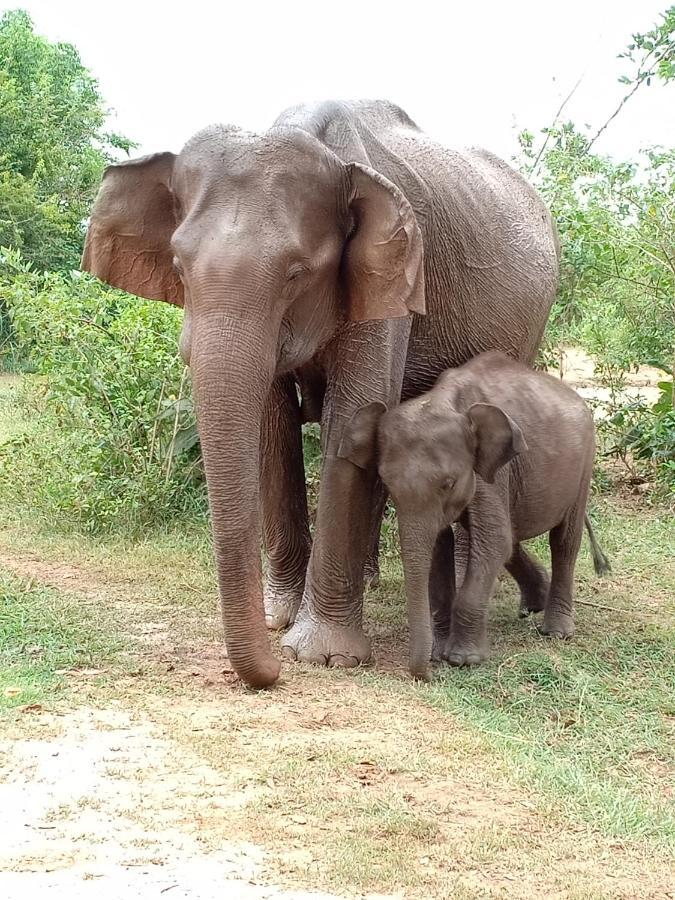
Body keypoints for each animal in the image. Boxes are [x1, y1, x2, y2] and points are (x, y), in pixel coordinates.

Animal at [80, 98, 560, 688]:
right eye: (177, 267)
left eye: (296, 274)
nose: (270, 675)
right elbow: (274, 427)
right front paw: (278, 617)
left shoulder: (394, 271)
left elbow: (354, 415)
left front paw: (321, 655)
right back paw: (374, 581)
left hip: (529, 326)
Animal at [340, 350, 608, 676]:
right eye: (387, 482)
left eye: (448, 483)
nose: (428, 674)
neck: (442, 399)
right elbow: (443, 545)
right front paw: (439, 652)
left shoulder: (493, 473)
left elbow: (492, 540)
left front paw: (462, 659)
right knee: (513, 539)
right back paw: (532, 606)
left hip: (584, 465)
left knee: (564, 541)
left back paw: (556, 631)